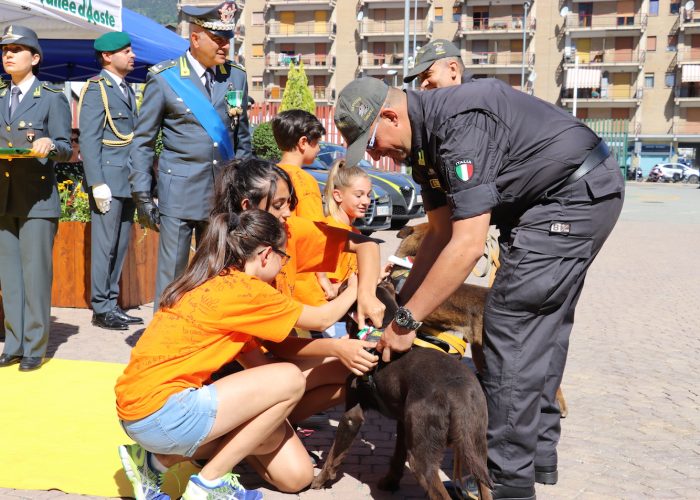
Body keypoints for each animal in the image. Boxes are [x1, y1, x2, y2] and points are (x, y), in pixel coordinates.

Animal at [308, 282, 490, 500]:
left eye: (344, 287)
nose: (329, 294)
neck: (380, 328)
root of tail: (457, 393)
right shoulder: (404, 422)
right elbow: (397, 455)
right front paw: (390, 482)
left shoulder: (353, 415)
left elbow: (334, 455)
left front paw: (319, 481)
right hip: (476, 448)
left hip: (423, 457)